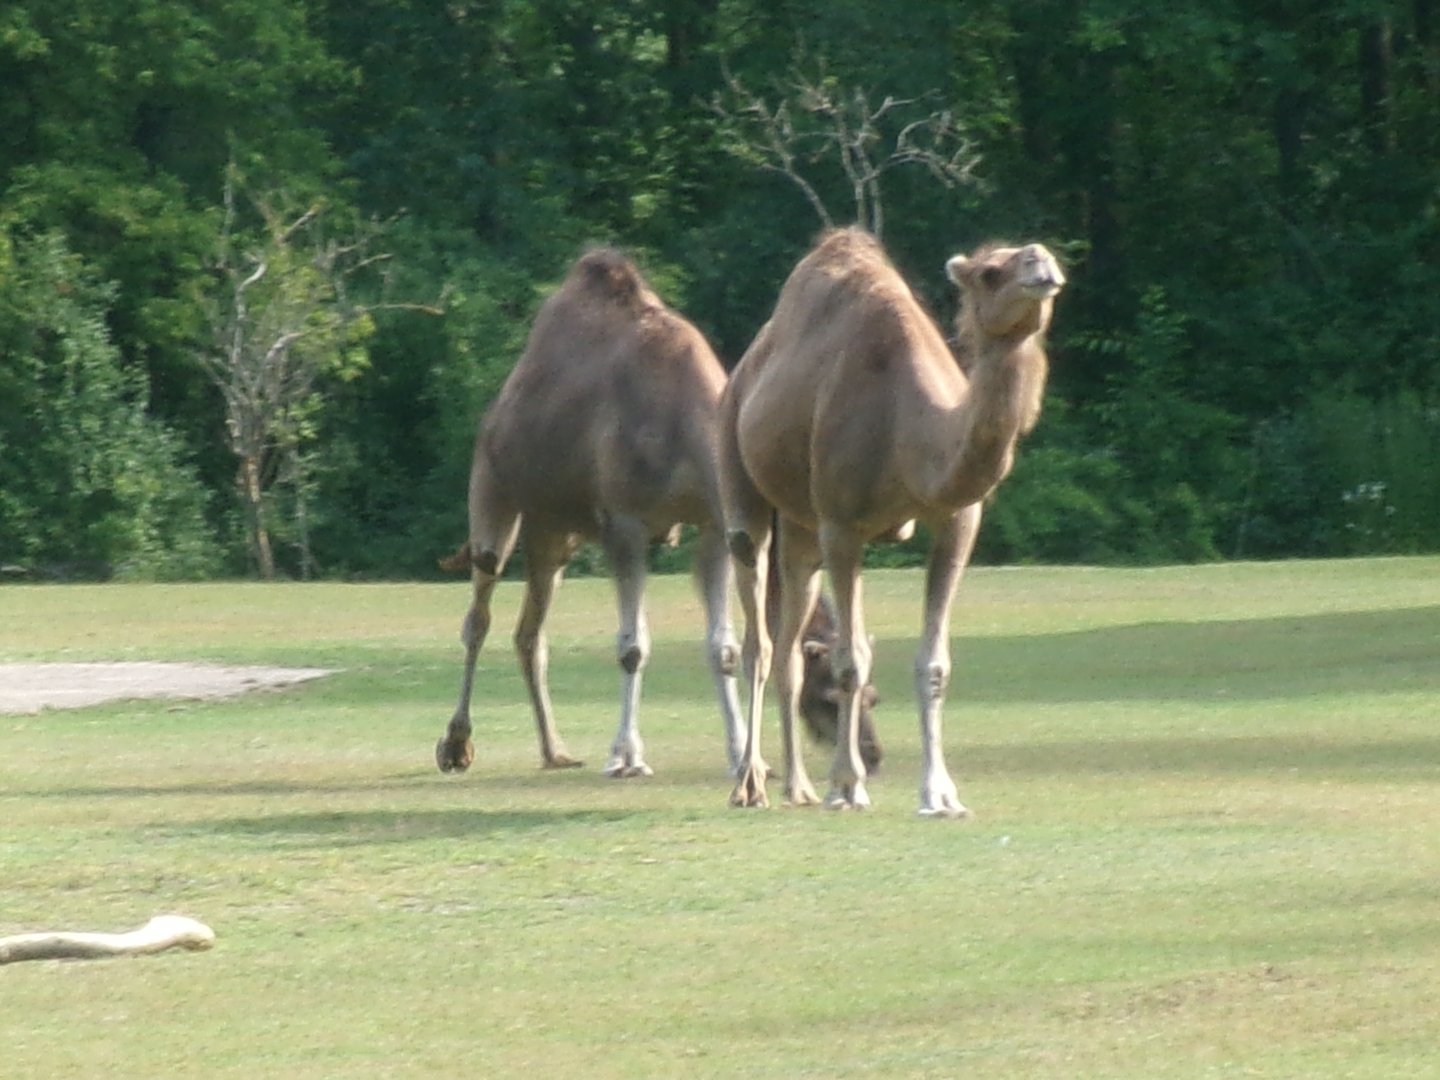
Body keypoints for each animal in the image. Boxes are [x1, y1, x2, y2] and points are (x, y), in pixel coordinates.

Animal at [718, 227, 1064, 815]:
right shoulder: (842, 526)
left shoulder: (957, 522)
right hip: (744, 491)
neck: (908, 429)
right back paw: (750, 785)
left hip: (801, 532)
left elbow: (934, 665)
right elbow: (850, 660)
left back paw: (798, 787)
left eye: (1040, 256)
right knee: (758, 641)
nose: (1041, 265)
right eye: (991, 272)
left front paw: (940, 795)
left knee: (789, 649)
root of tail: (741, 372)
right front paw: (848, 786)